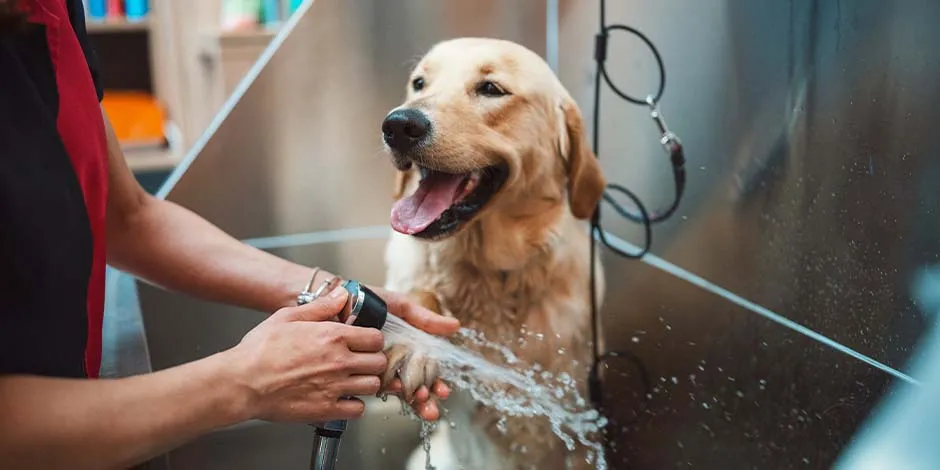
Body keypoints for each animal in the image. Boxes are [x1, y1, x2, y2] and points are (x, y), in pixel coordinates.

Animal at [378, 37, 604, 470]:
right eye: (419, 83)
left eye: (491, 89)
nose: (398, 125)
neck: (489, 273)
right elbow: (420, 296)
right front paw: (414, 344)